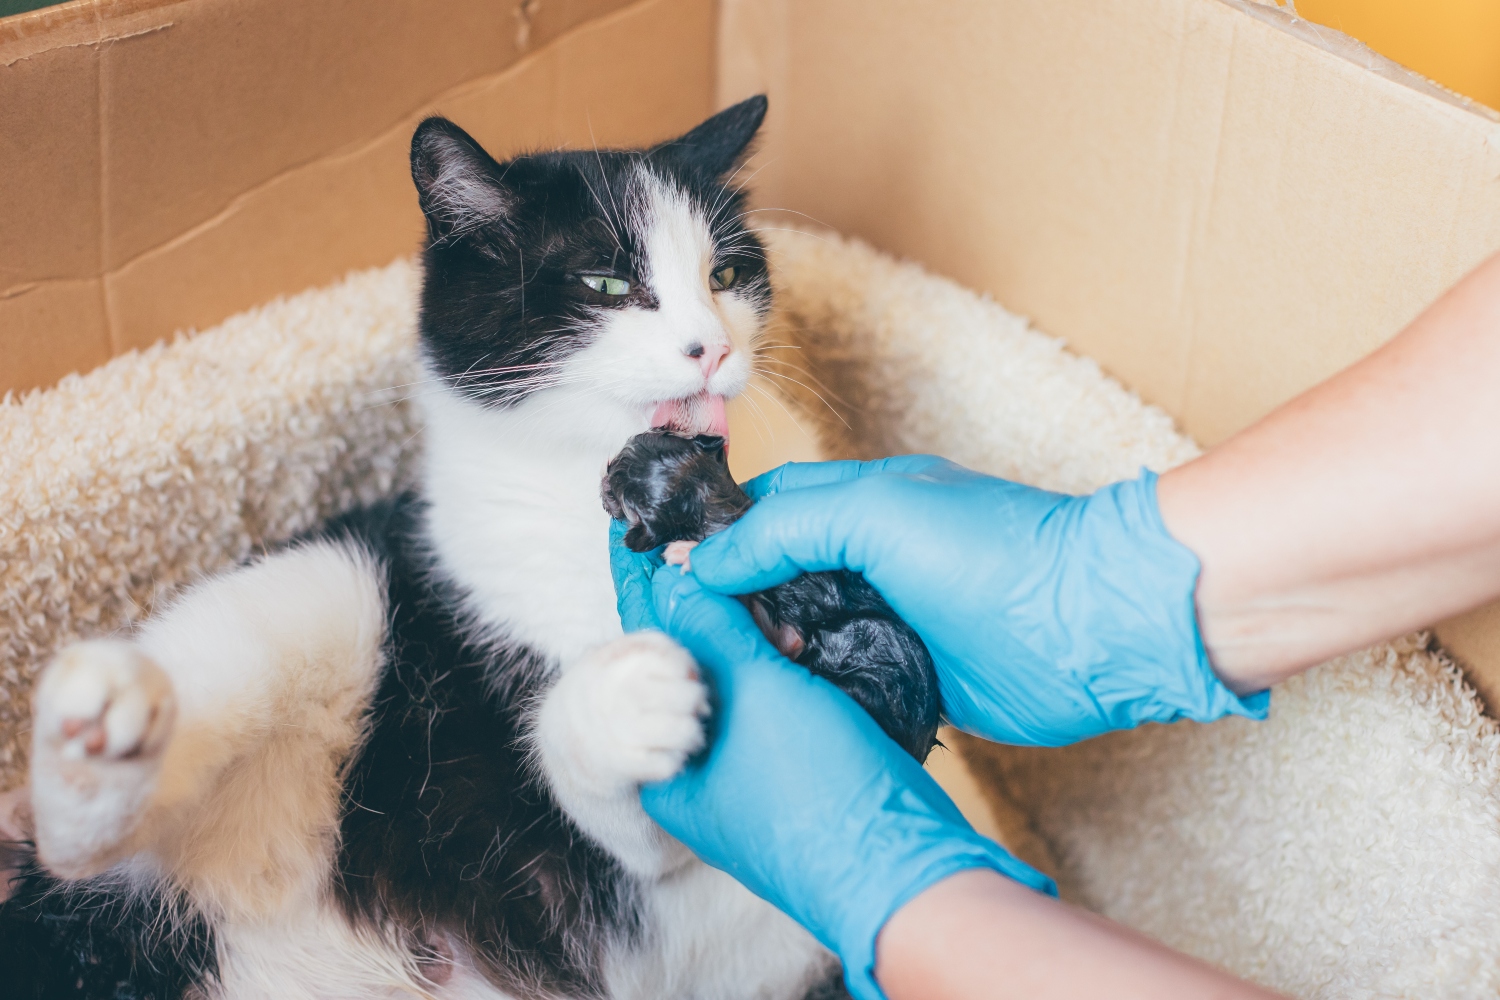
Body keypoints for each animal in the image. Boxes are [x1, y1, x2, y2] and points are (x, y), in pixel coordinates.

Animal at [0, 95, 876, 1000]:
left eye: (726, 276)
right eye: (606, 284)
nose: (715, 347)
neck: (586, 492)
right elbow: (626, 814)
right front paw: (627, 701)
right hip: (334, 582)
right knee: (92, 833)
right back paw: (95, 734)